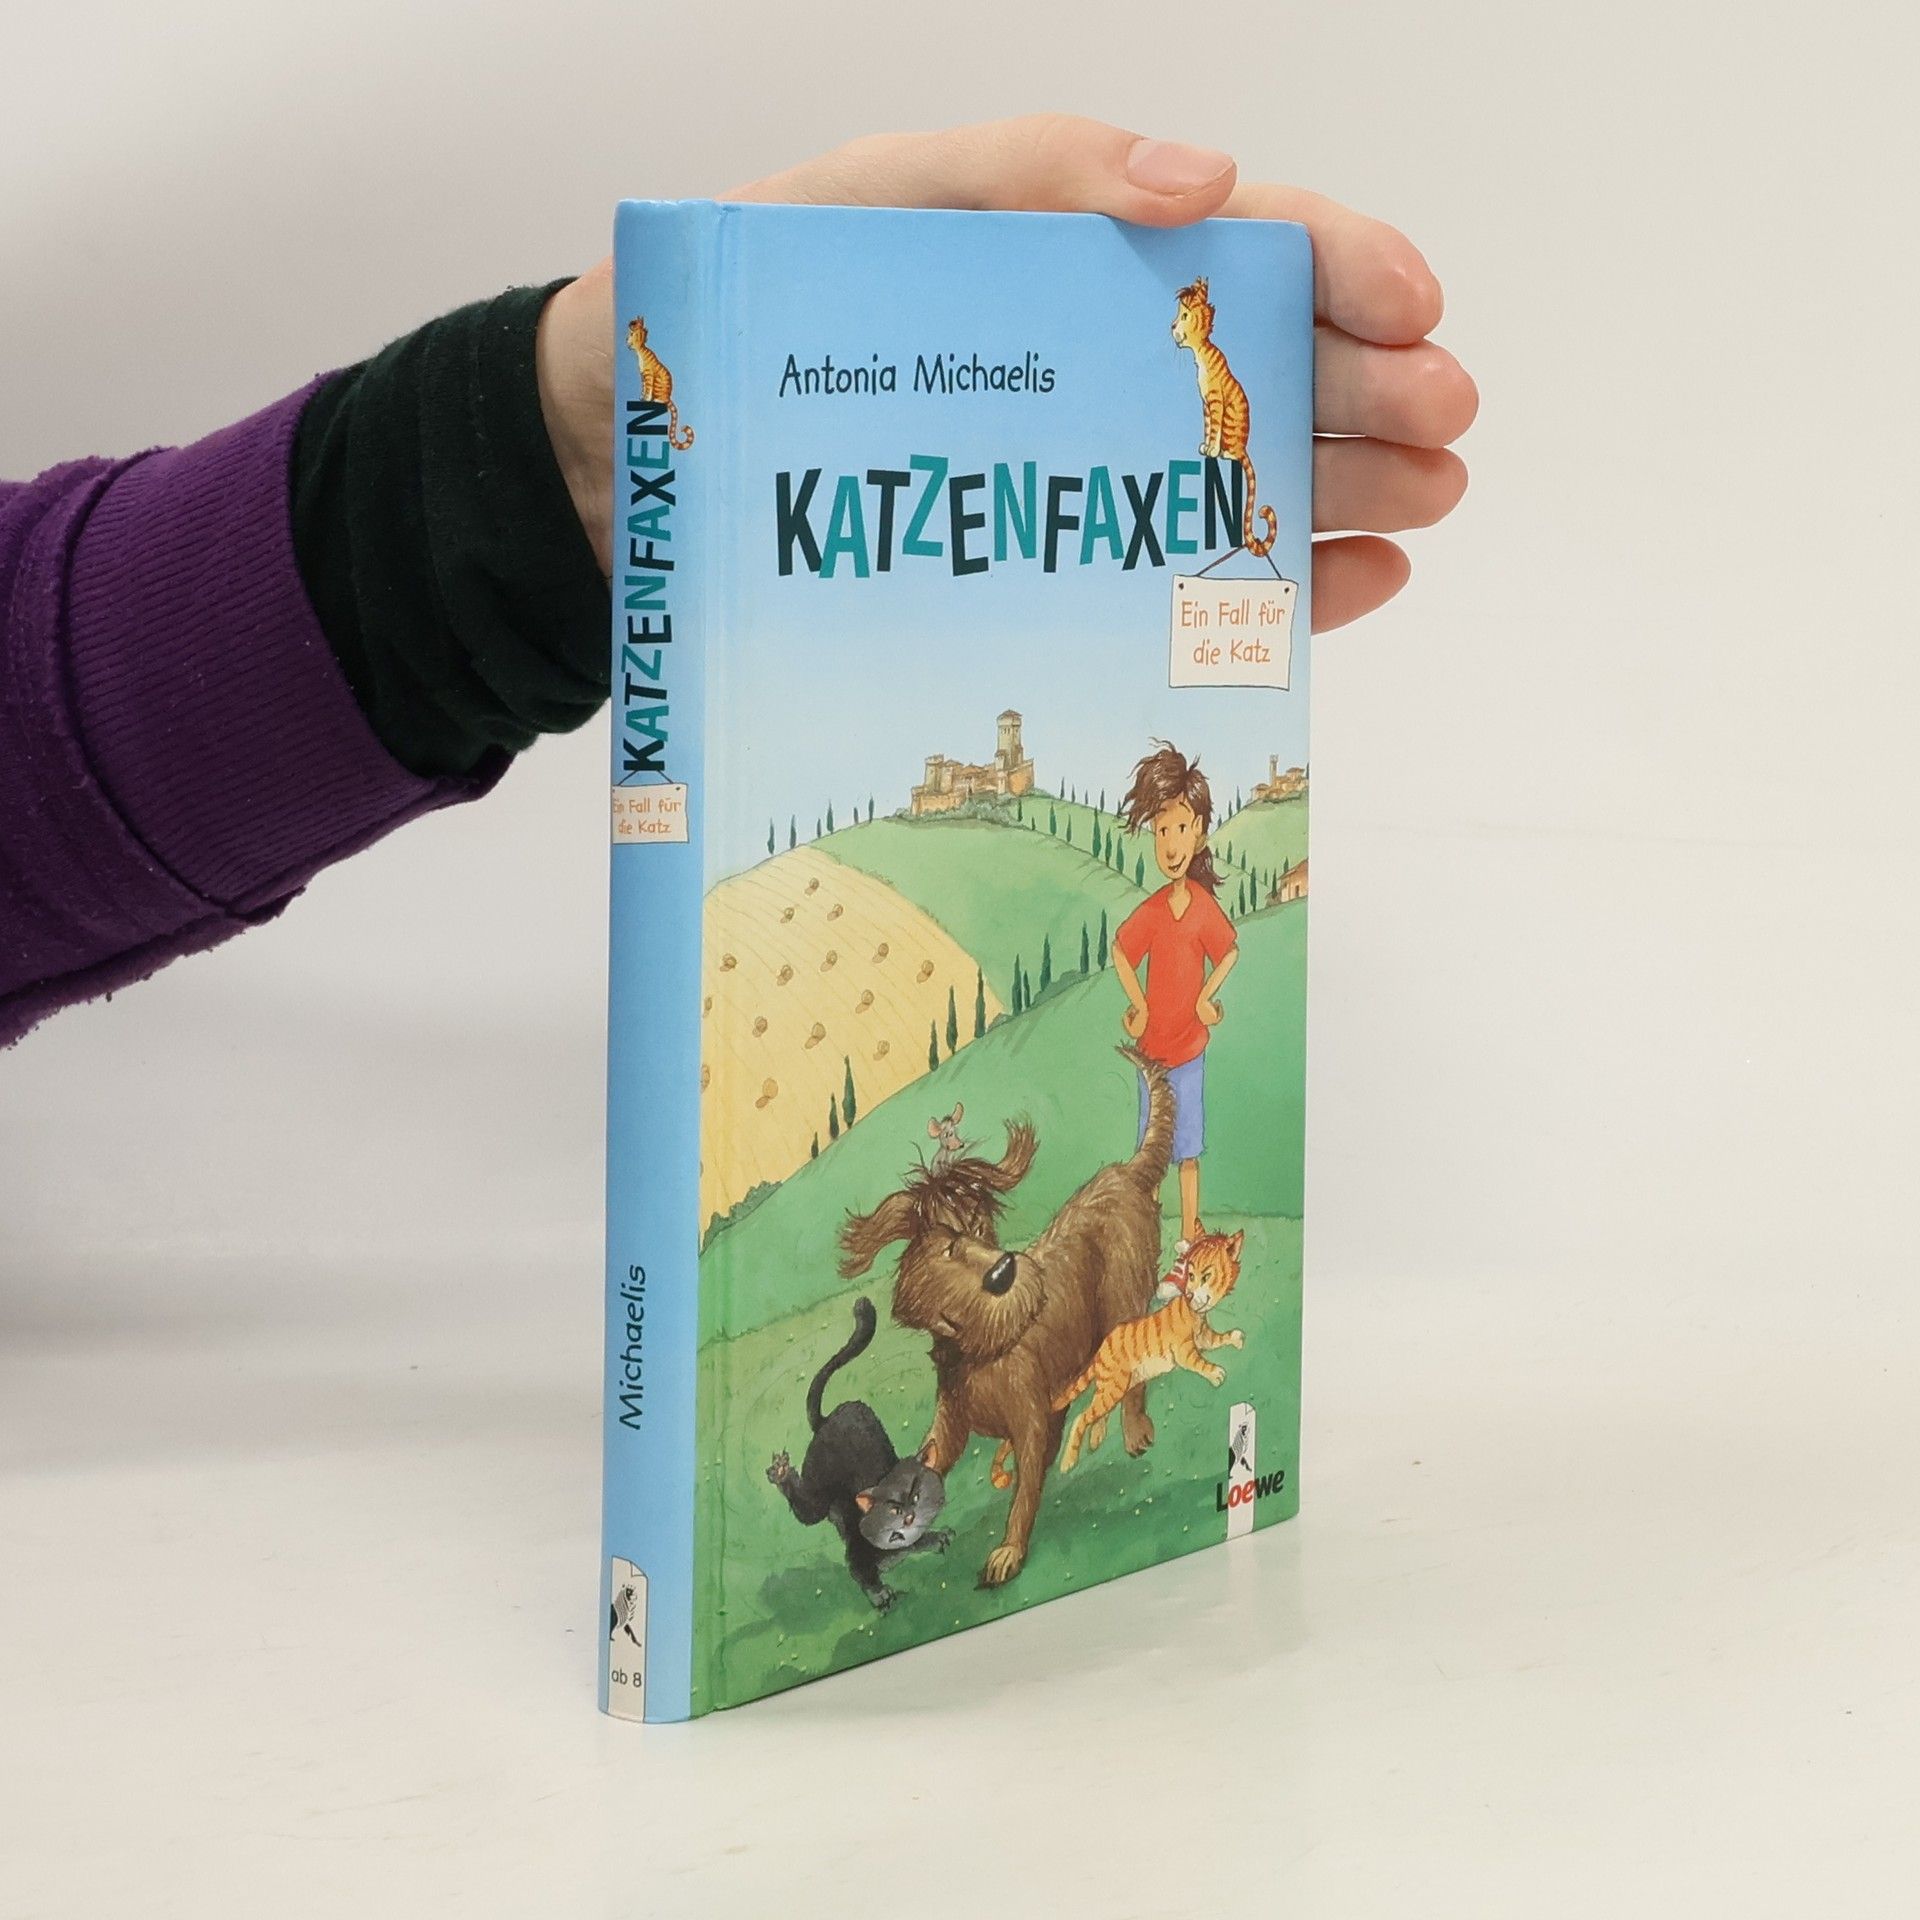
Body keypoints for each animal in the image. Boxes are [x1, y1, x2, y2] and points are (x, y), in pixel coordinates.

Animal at [625, 316, 695, 450]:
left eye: (631, 334)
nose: (625, 340)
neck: (640, 352)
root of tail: (668, 397)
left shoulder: (649, 375)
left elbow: (648, 389)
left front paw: (646, 399)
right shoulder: (642, 376)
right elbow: (643, 388)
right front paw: (641, 397)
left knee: (661, 400)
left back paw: (656, 400)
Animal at [767, 1296, 950, 1610]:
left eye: (916, 1495)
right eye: (892, 1508)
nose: (909, 1517)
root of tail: (826, 1419)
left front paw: (937, 1537)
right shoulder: (855, 1546)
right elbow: (860, 1572)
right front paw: (880, 1594)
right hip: (819, 1486)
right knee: (807, 1510)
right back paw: (781, 1474)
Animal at [838, 1047, 1175, 1587]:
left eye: (980, 1227)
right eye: (946, 1246)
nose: (1003, 1272)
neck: (978, 1354)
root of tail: (1123, 1172)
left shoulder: (1032, 1421)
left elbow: (1025, 1491)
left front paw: (1008, 1552)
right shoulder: (950, 1424)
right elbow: (928, 1458)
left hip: (1123, 1303)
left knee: (1134, 1374)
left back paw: (1135, 1431)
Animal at [1052, 1228, 1247, 1471]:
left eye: (1206, 1276)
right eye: (1190, 1276)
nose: (1190, 1295)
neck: (1194, 1313)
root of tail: (1101, 1349)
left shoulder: (1205, 1338)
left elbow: (1219, 1338)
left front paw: (1236, 1337)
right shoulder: (1184, 1351)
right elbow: (1198, 1361)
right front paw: (1214, 1373)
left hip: (1120, 1385)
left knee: (1097, 1412)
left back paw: (1096, 1437)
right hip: (1114, 1386)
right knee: (1082, 1416)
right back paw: (1068, 1461)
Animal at [1170, 279, 1277, 557]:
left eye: (1184, 316)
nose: (1171, 326)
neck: (1201, 353)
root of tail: (1243, 449)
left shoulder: (1216, 401)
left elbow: (1215, 428)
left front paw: (1212, 449)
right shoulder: (1205, 405)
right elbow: (1208, 427)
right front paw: (1205, 447)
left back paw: (1225, 452)